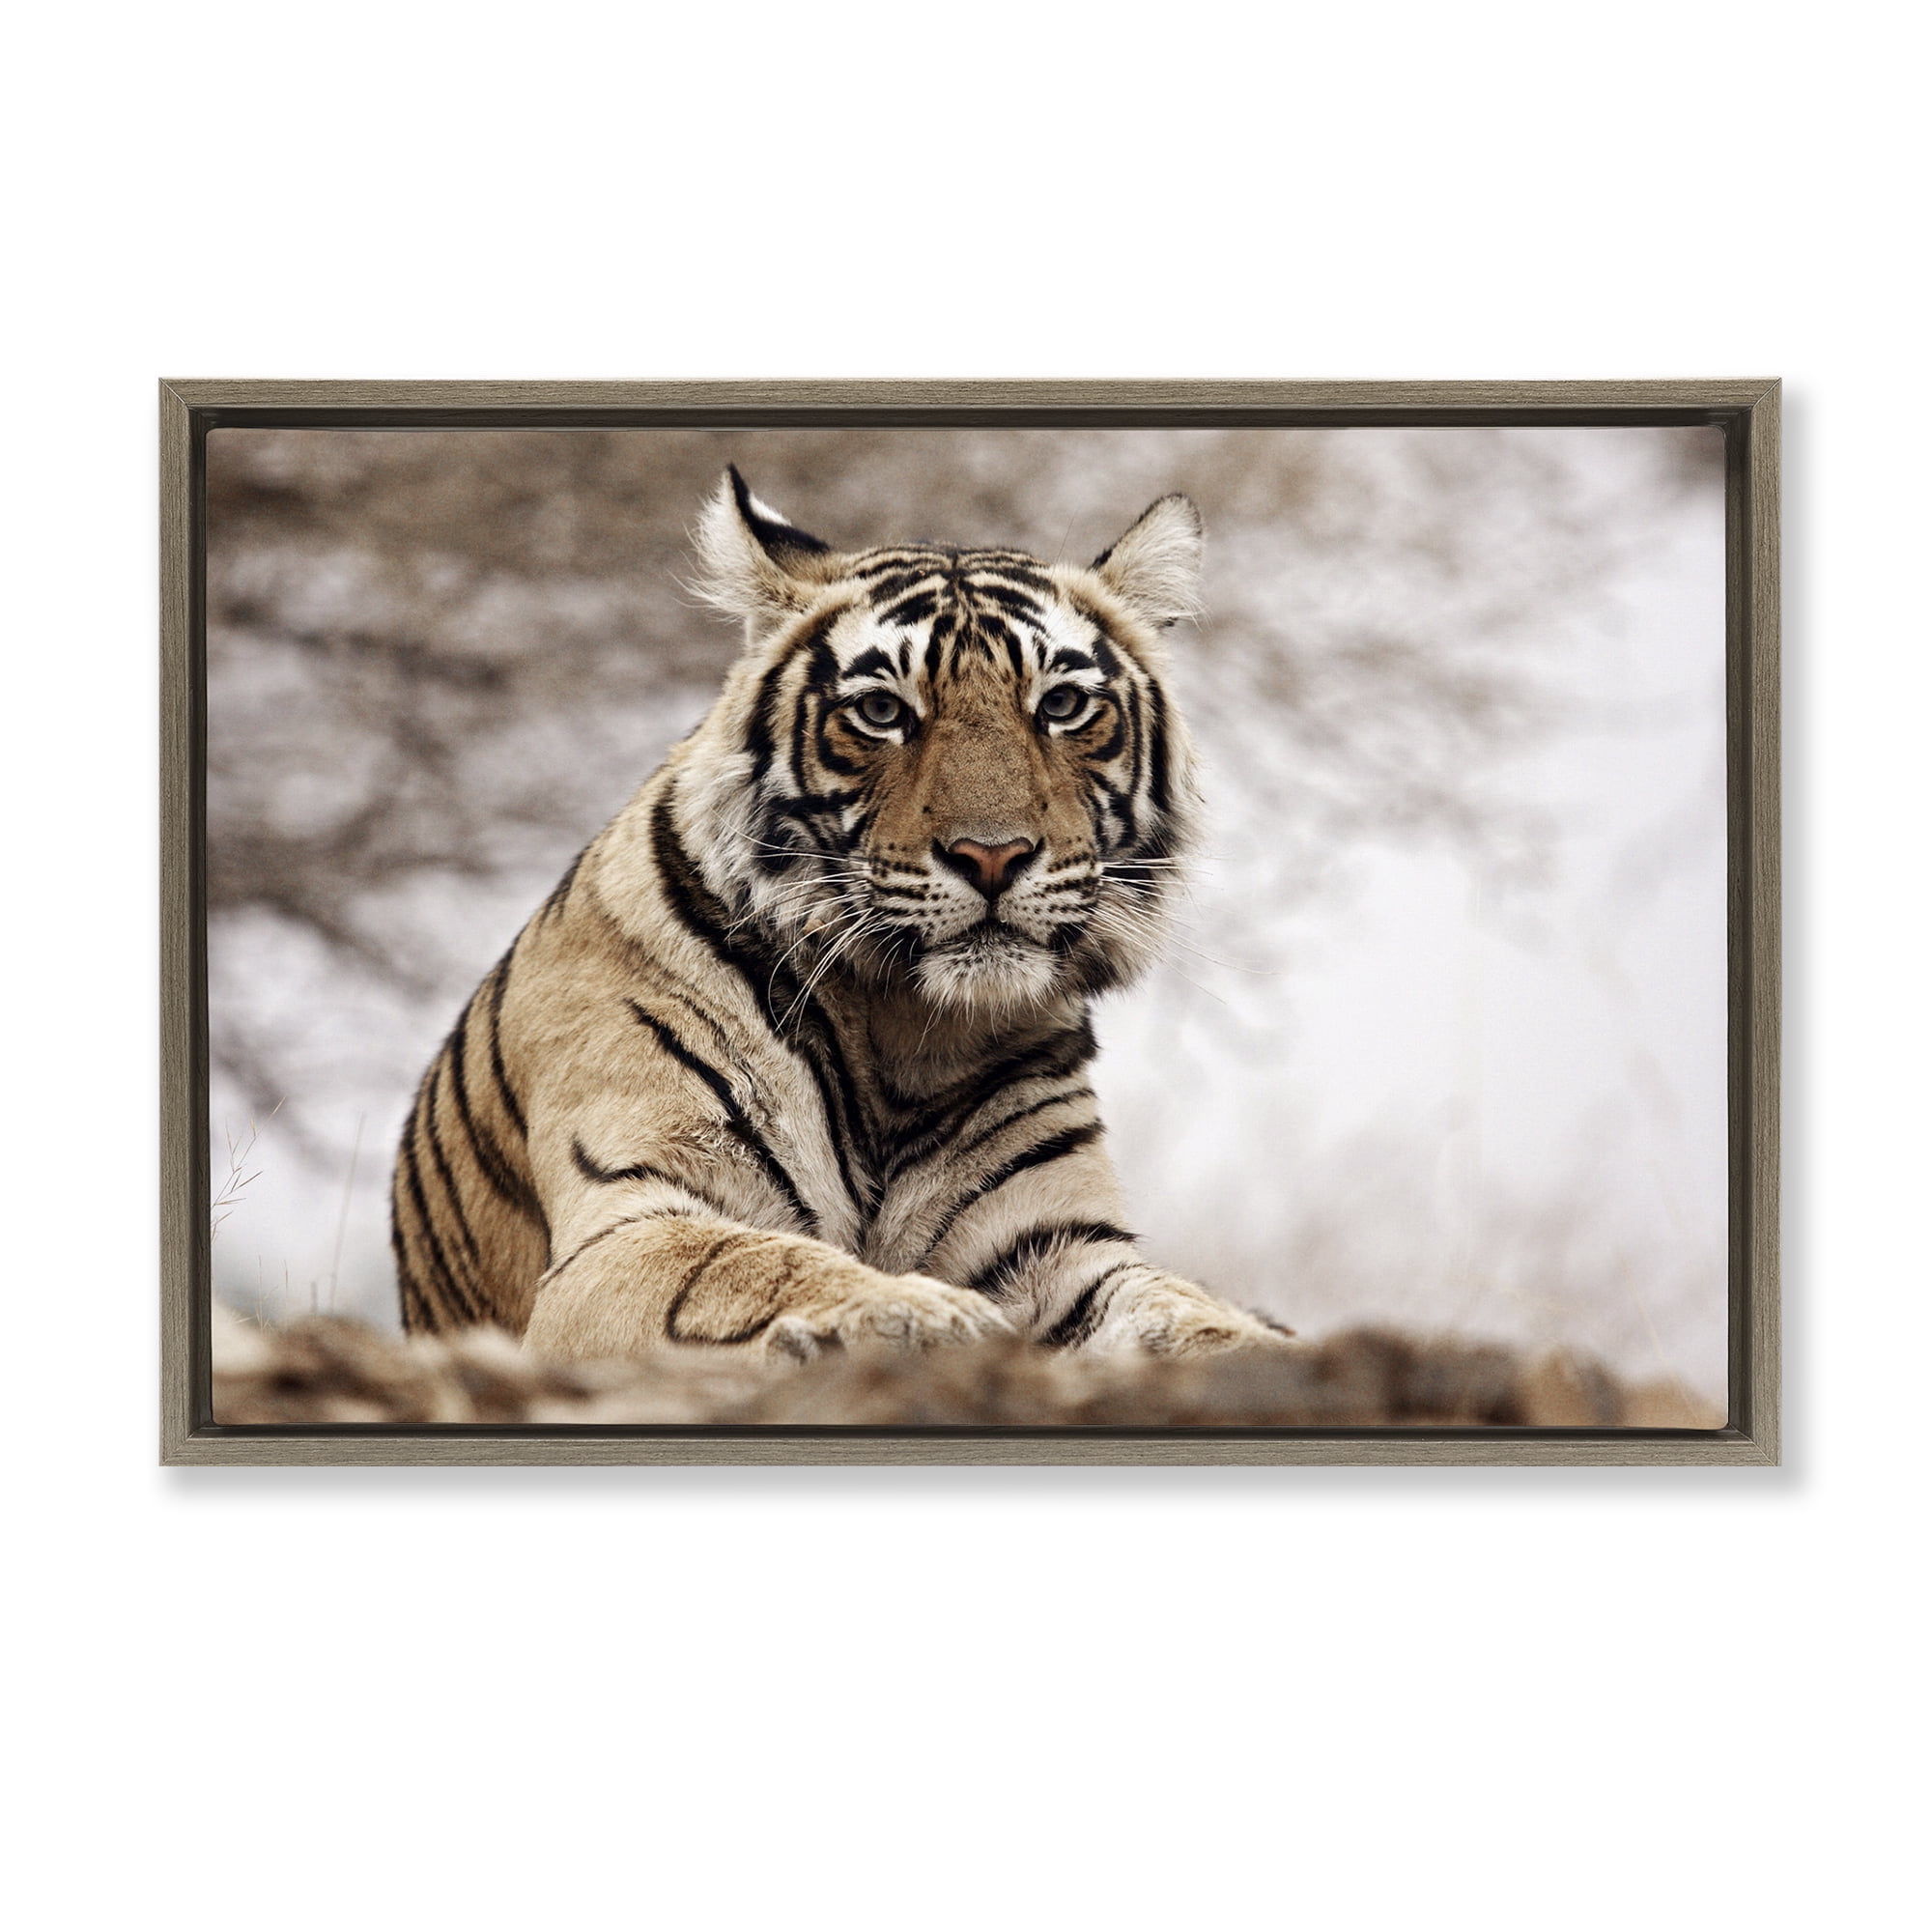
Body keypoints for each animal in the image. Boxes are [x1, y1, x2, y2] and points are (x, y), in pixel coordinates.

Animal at [390, 467, 1292, 1363]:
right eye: (883, 712)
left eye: (1063, 704)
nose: (992, 856)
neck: (908, 1034)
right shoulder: (626, 1223)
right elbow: (757, 1265)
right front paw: (926, 1315)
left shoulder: (1056, 1243)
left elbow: (1179, 1310)